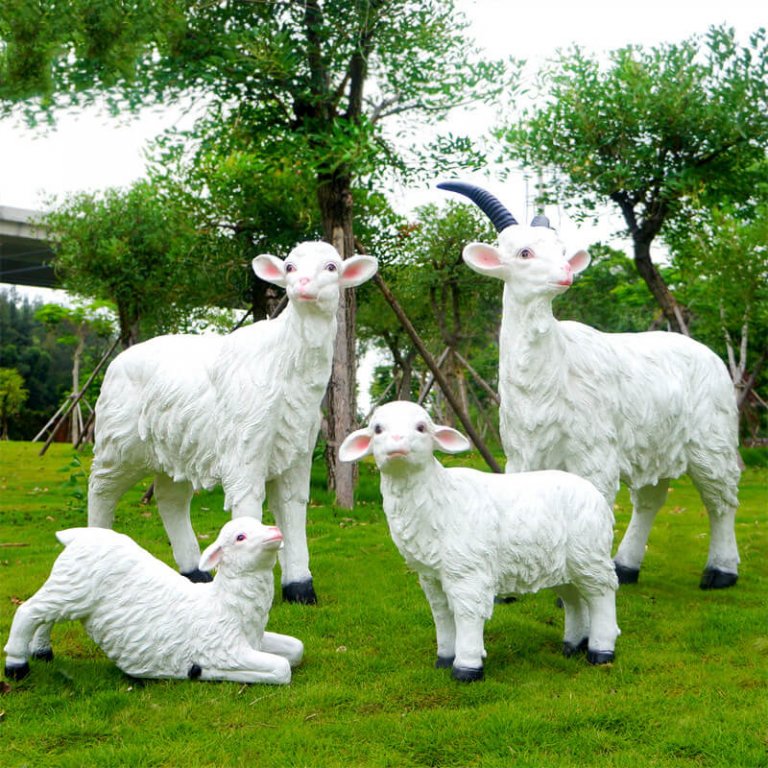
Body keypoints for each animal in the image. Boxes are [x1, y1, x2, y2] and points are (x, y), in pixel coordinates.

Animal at [3, 518, 304, 684]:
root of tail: (77, 535)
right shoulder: (222, 648)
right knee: (29, 611)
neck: (223, 604)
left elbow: (296, 649)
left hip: (68, 588)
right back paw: (16, 664)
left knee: (44, 618)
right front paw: (202, 672)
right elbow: (281, 669)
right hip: (74, 586)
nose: (276, 531)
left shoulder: (252, 641)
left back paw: (41, 652)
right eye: (240, 537)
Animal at [87, 241, 378, 604]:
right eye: (290, 268)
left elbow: (293, 507)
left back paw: (194, 572)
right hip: (119, 439)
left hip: (177, 443)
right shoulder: (245, 440)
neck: (286, 360)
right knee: (101, 489)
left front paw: (300, 587)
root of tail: (118, 361)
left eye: (331, 267)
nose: (302, 285)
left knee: (170, 498)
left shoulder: (296, 447)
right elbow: (249, 500)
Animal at [339, 401, 620, 682]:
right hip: (560, 562)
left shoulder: (467, 570)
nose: (397, 442)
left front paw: (466, 667)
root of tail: (595, 493)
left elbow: (467, 614)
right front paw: (444, 659)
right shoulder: (430, 575)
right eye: (378, 429)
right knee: (575, 599)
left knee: (601, 594)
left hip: (589, 552)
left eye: (421, 427)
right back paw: (573, 645)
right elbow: (441, 614)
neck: (439, 498)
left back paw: (601, 650)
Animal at [438, 181, 741, 589]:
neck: (553, 372)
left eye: (562, 249)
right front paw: (510, 590)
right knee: (651, 498)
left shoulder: (595, 451)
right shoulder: (522, 452)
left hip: (712, 438)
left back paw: (720, 572)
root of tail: (712, 357)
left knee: (720, 498)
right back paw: (626, 566)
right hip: (657, 442)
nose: (566, 273)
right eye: (524, 252)